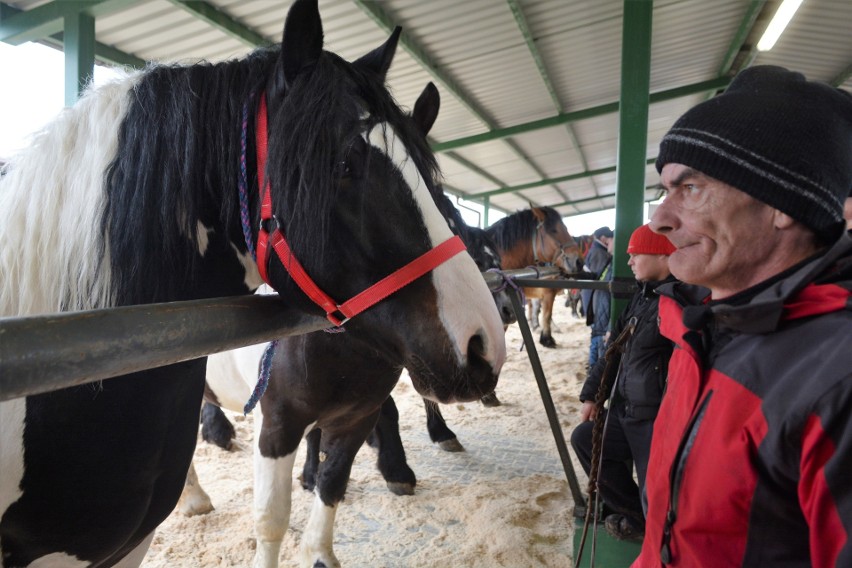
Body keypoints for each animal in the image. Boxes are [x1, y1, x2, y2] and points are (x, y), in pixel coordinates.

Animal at [0, 2, 506, 564]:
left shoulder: (354, 417)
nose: (483, 343)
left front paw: (324, 543)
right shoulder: (277, 422)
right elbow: (272, 518)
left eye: (439, 191)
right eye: (343, 163)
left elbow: (333, 482)